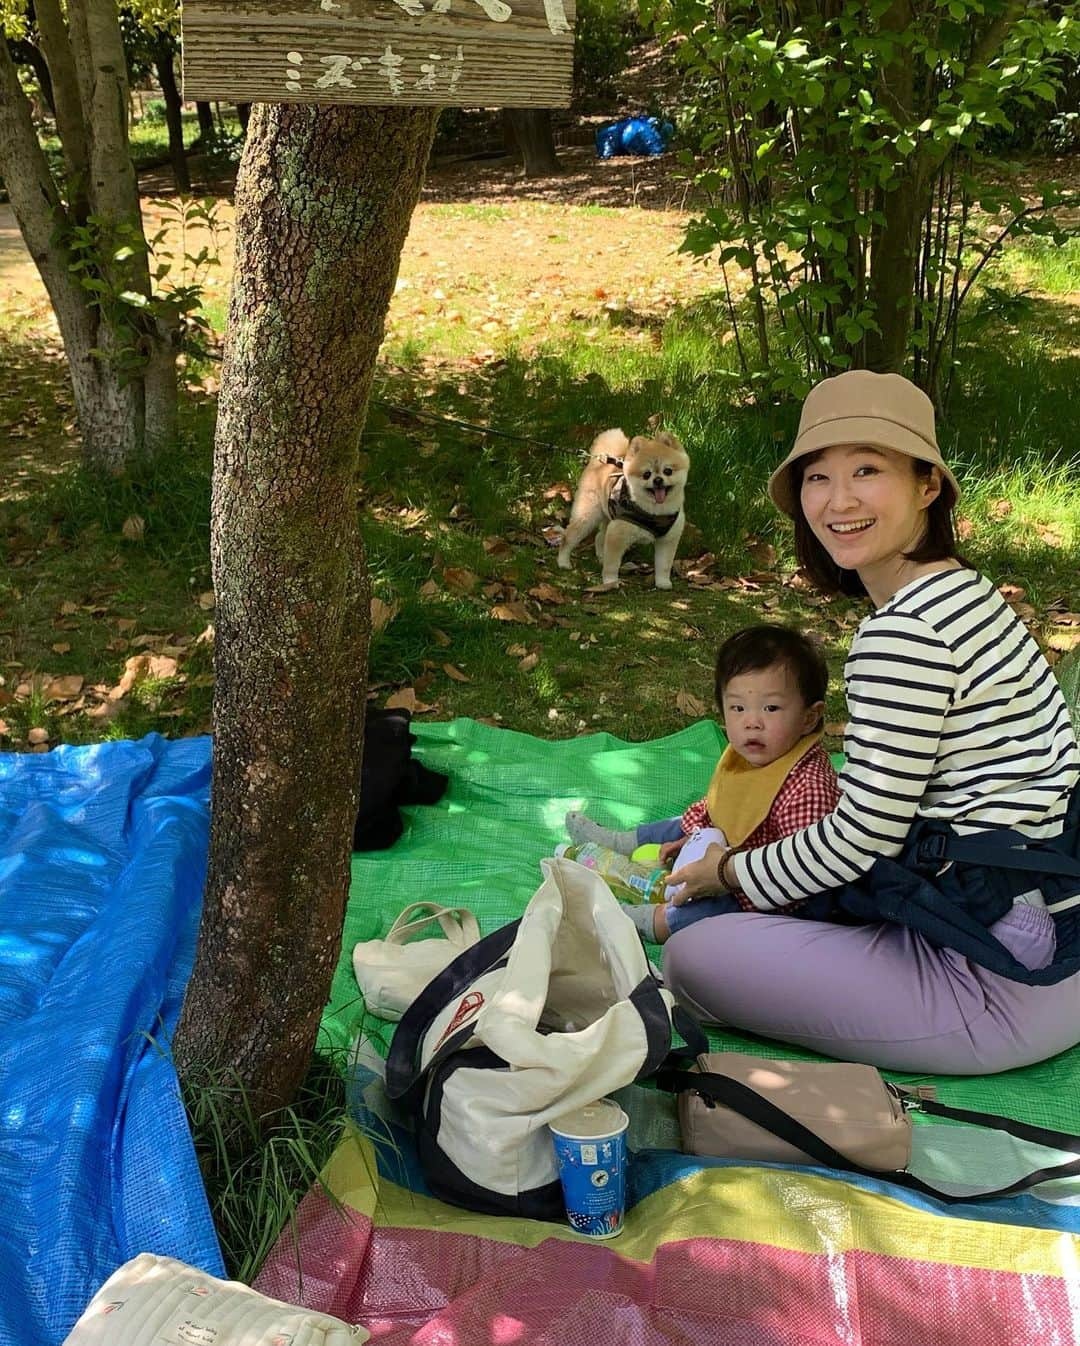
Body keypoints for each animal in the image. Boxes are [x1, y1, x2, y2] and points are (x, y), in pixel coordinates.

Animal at [560, 430, 686, 589]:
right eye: (646, 474)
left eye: (668, 471)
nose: (658, 480)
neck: (655, 512)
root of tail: (599, 461)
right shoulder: (617, 535)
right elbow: (612, 564)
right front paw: (610, 582)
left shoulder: (668, 539)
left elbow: (664, 565)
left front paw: (663, 582)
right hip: (587, 517)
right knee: (568, 537)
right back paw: (563, 562)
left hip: (608, 517)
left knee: (599, 537)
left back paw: (601, 557)